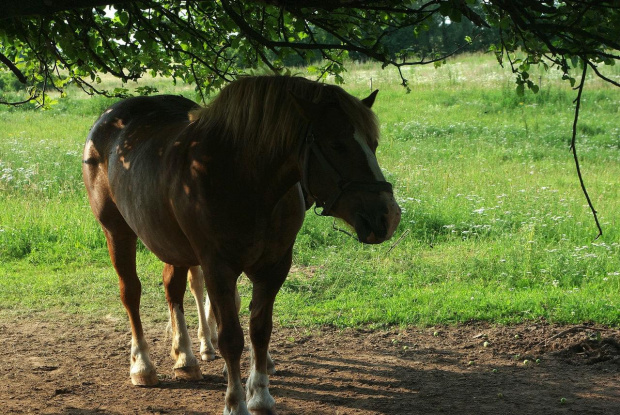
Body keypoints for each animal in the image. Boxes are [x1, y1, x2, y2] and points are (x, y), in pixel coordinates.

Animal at [81, 76, 402, 414]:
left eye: (374, 144)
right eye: (336, 144)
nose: (389, 215)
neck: (241, 177)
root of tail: (111, 119)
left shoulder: (274, 266)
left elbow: (260, 330)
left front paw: (260, 395)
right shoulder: (218, 267)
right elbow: (231, 338)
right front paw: (235, 402)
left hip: (172, 243)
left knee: (173, 289)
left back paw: (186, 359)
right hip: (117, 232)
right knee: (131, 293)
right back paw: (142, 366)